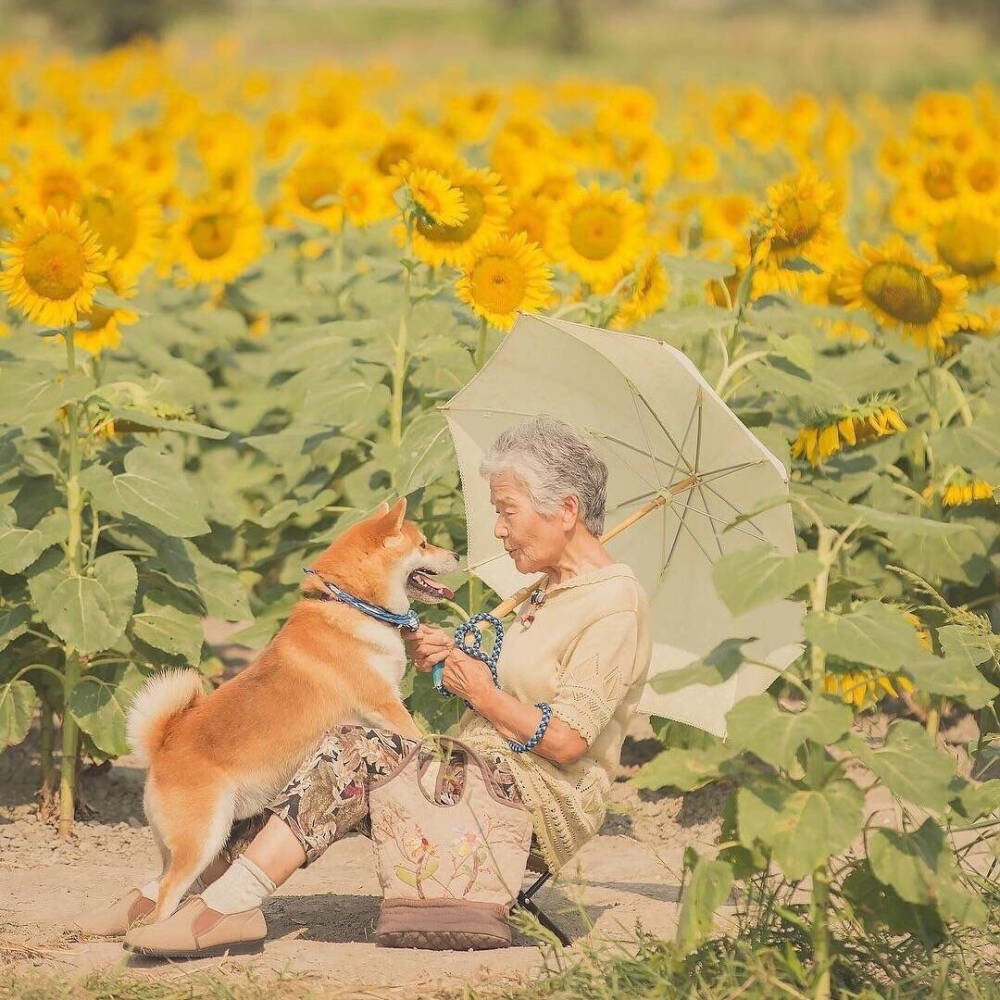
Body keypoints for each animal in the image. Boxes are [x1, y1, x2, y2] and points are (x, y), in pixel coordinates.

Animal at [125, 496, 458, 924]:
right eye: (424, 543)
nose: (456, 553)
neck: (353, 607)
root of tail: (161, 747)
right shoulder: (384, 702)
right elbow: (421, 737)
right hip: (202, 840)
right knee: (166, 896)